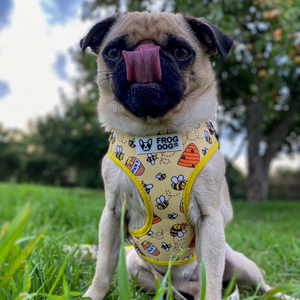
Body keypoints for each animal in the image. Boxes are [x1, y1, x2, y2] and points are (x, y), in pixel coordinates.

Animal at [79, 11, 284, 300]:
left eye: (181, 52)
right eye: (113, 52)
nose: (145, 51)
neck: (157, 135)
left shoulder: (211, 221)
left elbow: (212, 278)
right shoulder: (112, 215)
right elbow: (102, 268)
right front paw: (93, 294)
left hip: (240, 264)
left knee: (260, 286)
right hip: (141, 272)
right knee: (173, 291)